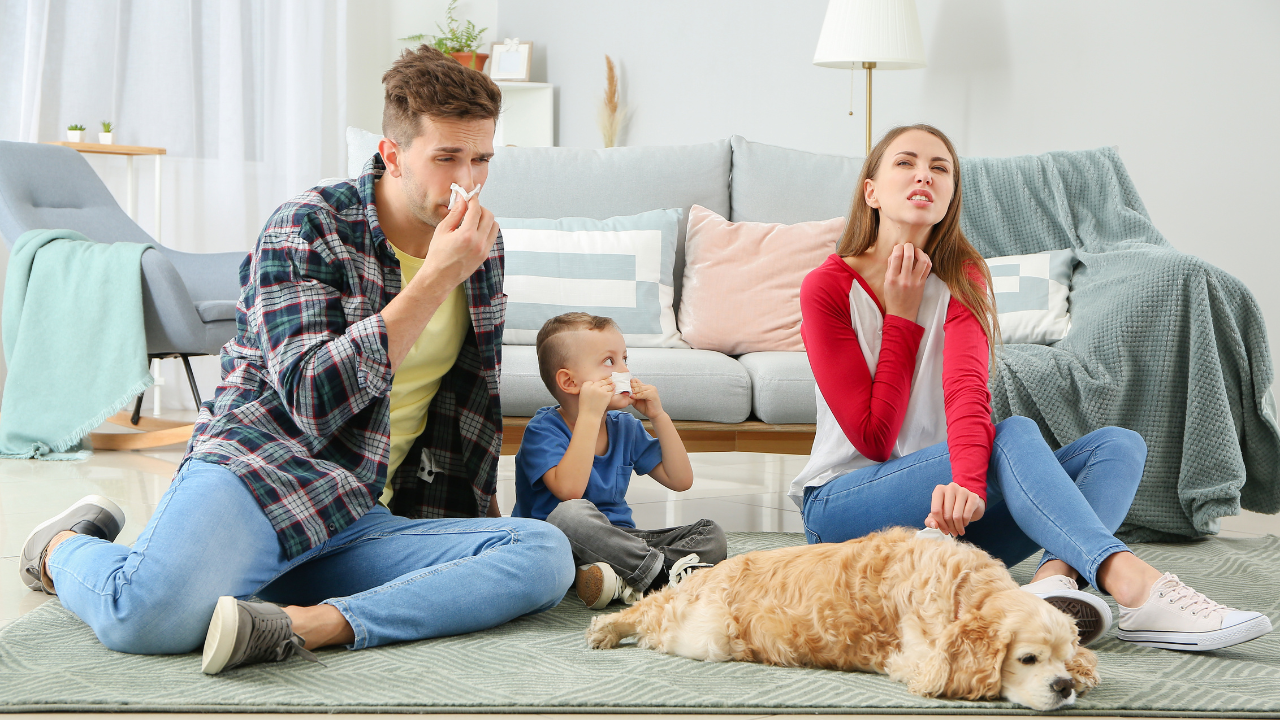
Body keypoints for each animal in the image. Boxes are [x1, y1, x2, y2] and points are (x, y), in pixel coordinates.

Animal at [586, 525, 1095, 707]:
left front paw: (1085, 671)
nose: (1062, 686)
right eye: (1027, 659)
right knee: (649, 613)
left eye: (1061, 659)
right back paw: (606, 629)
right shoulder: (920, 659)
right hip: (704, 632)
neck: (967, 591)